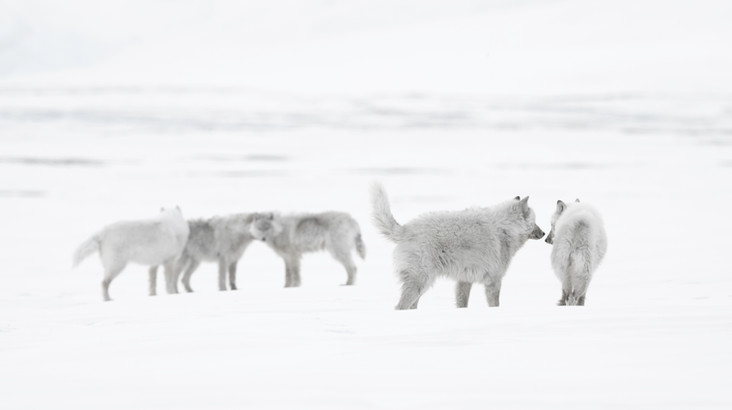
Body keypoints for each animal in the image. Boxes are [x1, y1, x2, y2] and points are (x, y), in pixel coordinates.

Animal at [371, 183, 545, 310]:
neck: (505, 228)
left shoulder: (464, 280)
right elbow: (495, 304)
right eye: (535, 221)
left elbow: (462, 304)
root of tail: (405, 229)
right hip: (421, 282)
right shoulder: (494, 281)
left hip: (422, 285)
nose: (544, 233)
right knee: (399, 306)